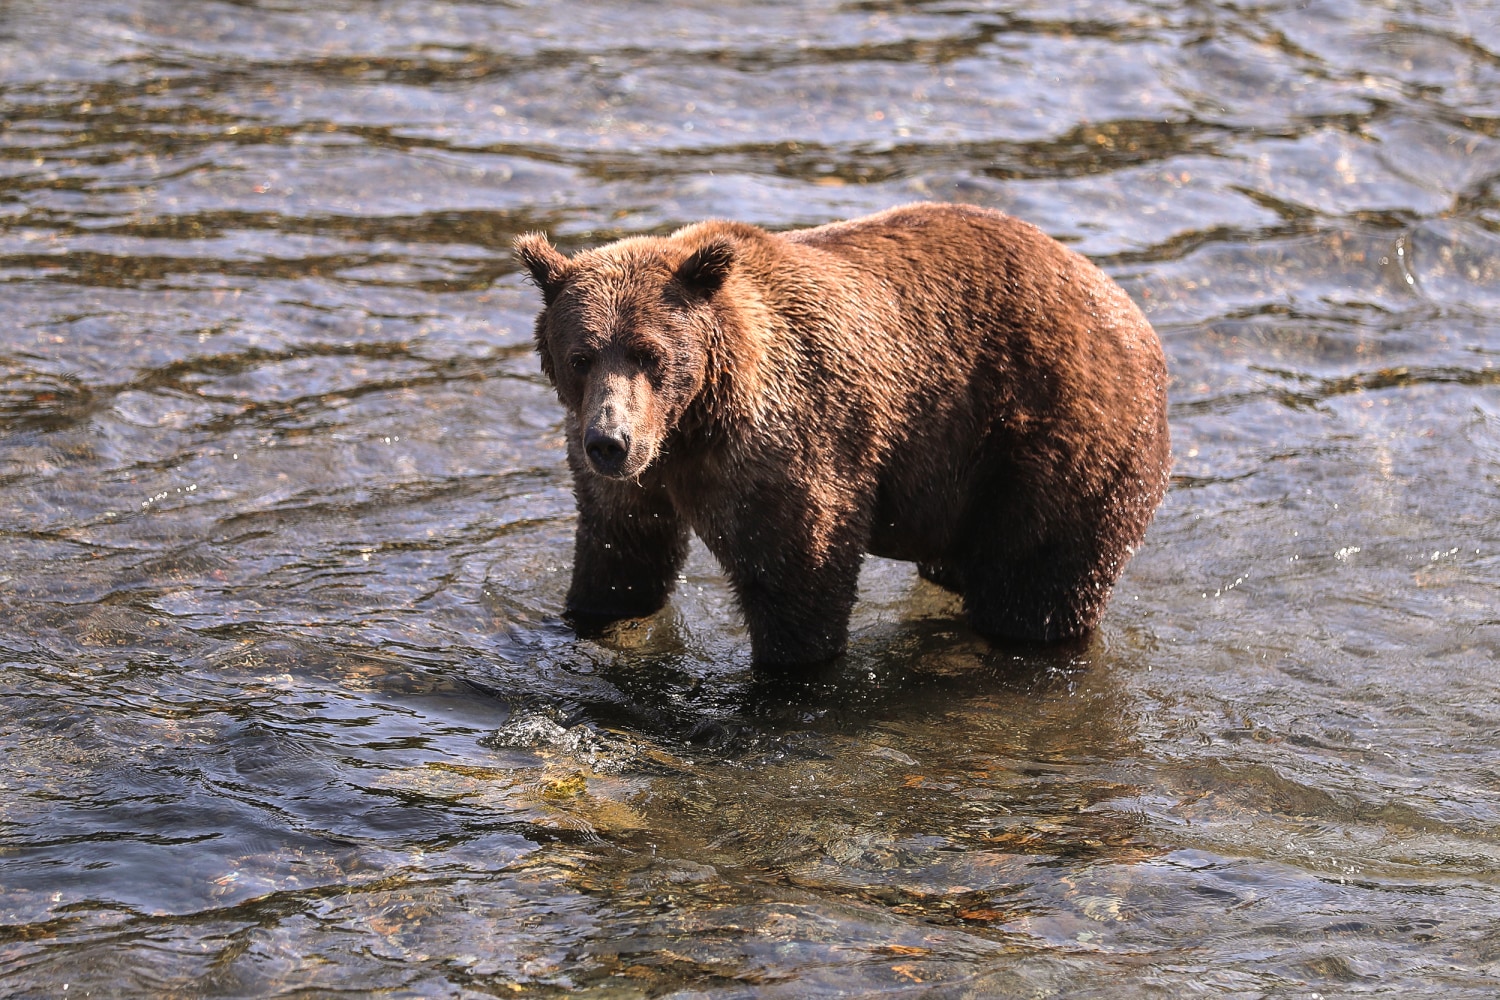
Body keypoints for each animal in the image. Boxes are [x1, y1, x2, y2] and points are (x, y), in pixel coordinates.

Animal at [516, 200, 1170, 668]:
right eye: (581, 356)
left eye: (649, 354)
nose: (612, 441)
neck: (692, 424)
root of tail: (1128, 309)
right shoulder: (627, 475)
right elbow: (620, 557)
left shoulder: (782, 441)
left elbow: (798, 572)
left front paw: (786, 670)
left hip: (1054, 433)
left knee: (1036, 583)